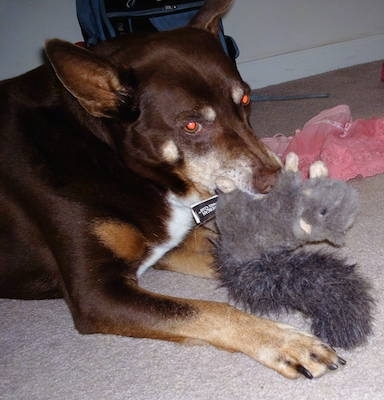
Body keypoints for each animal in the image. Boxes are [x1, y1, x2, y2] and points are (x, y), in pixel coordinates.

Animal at [0, 0, 342, 378]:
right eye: (191, 125)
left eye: (246, 99)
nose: (275, 179)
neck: (107, 153)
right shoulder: (95, 294)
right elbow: (208, 309)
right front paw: (286, 341)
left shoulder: (167, 242)